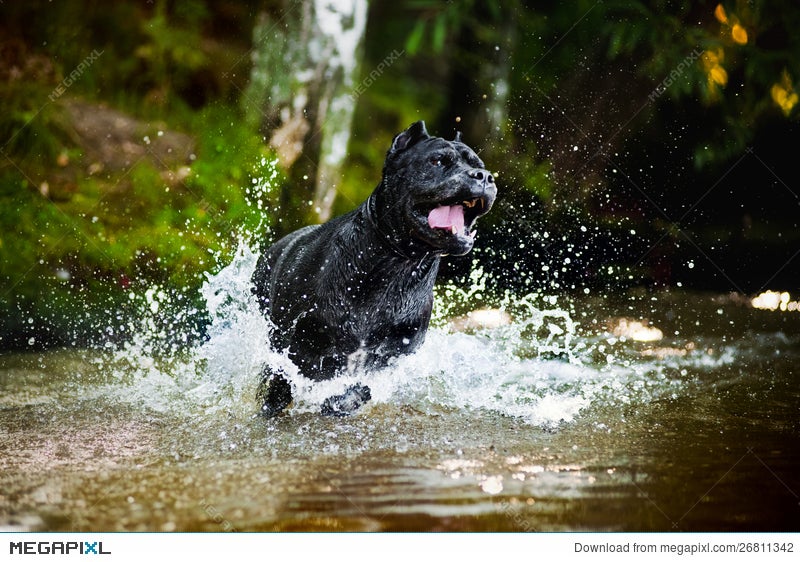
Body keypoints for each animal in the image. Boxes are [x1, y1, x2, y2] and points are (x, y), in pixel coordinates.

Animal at [253, 119, 496, 416]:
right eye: (438, 160)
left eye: (480, 165)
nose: (484, 177)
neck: (399, 263)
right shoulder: (295, 347)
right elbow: (283, 383)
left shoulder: (393, 354)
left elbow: (361, 386)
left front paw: (344, 400)